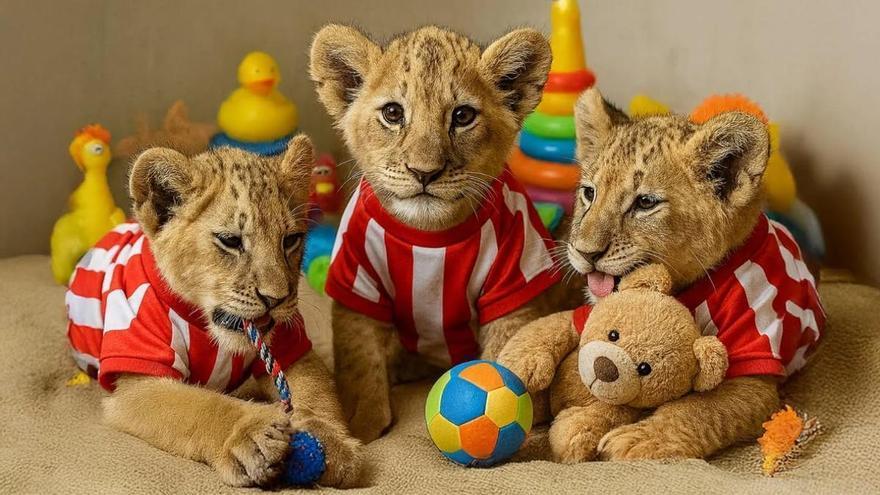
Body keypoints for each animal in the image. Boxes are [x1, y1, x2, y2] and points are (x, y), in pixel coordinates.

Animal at [65, 136, 364, 487]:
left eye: (290, 240)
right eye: (230, 241)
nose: (276, 299)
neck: (203, 323)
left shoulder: (291, 347)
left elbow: (317, 393)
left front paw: (330, 443)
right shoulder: (137, 381)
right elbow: (198, 406)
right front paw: (252, 436)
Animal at [499, 88, 824, 460]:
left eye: (645, 203)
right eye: (589, 193)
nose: (584, 252)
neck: (682, 287)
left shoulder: (754, 373)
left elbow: (699, 411)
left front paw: (636, 440)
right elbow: (560, 324)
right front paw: (516, 362)